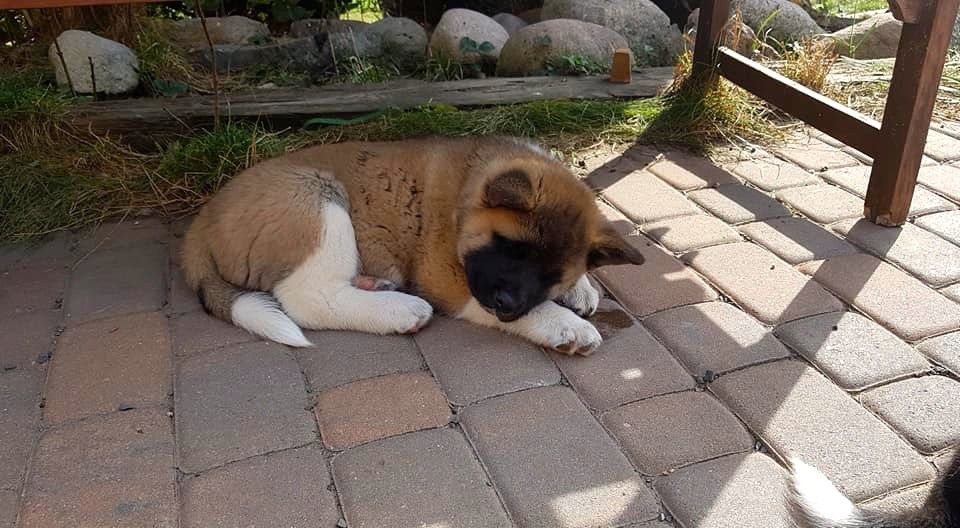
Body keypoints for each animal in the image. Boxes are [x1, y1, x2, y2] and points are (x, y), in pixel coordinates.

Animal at [180, 136, 645, 355]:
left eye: (552, 275)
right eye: (508, 246)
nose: (508, 305)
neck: (463, 197)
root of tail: (202, 219)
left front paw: (582, 288)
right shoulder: (449, 278)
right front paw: (566, 326)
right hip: (317, 198)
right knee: (306, 300)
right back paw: (399, 310)